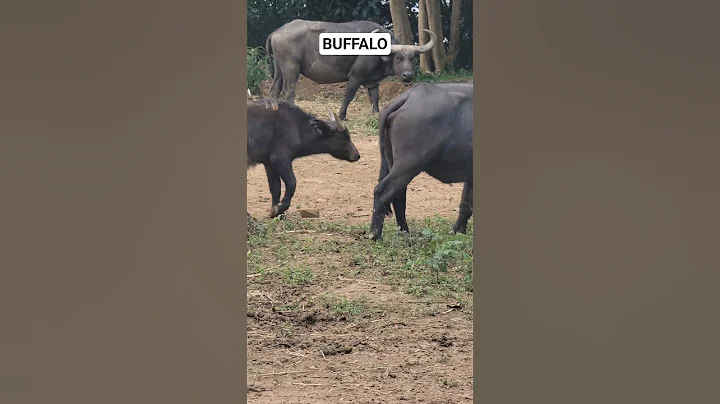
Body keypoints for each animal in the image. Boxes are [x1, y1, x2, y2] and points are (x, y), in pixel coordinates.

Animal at [265, 19, 436, 121]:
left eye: (412, 58)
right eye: (398, 58)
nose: (408, 75)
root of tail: (277, 31)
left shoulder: (373, 81)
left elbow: (374, 98)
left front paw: (376, 114)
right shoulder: (355, 76)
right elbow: (348, 95)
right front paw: (342, 116)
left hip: (279, 69)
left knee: (275, 88)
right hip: (291, 68)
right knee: (289, 91)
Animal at [368, 82, 474, 241]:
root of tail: (410, 95)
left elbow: (466, 204)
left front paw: (458, 232)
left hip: (391, 162)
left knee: (398, 195)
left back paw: (405, 232)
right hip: (409, 164)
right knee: (383, 191)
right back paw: (375, 234)